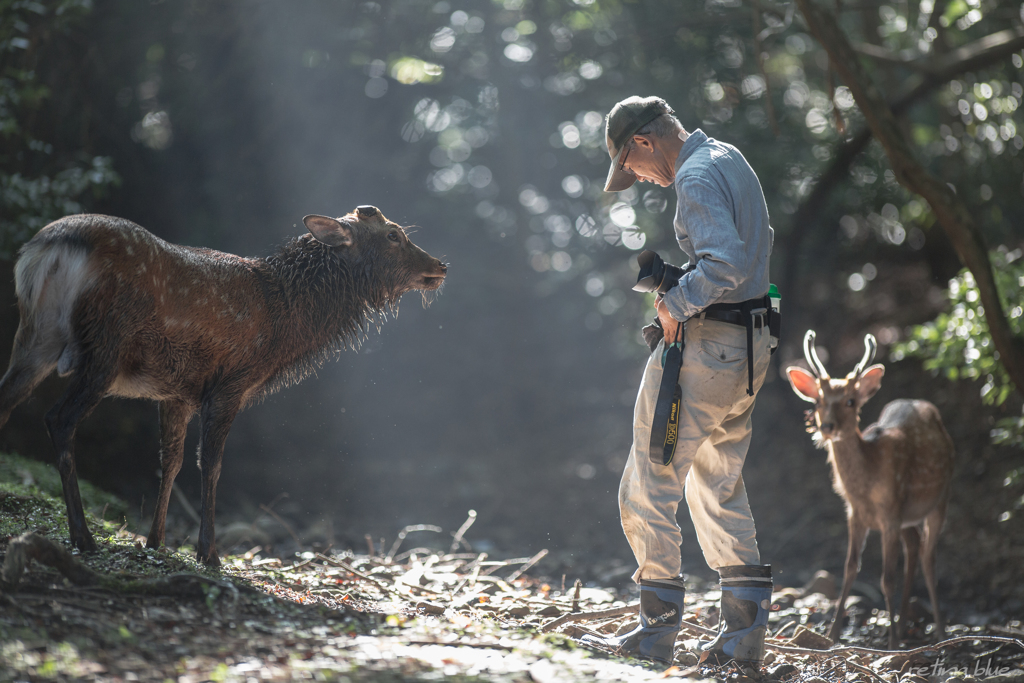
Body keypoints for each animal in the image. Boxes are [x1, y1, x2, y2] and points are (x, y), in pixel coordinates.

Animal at [1, 206, 448, 565]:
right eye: (394, 235)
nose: (442, 266)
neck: (285, 325)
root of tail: (50, 246)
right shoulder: (231, 381)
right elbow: (211, 465)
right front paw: (208, 553)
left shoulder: (176, 391)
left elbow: (170, 461)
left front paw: (155, 541)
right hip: (106, 345)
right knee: (58, 419)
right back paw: (83, 536)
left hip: (35, 337)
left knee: (7, 399)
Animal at [786, 331, 954, 647]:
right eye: (818, 400)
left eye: (851, 401)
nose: (827, 426)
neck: (866, 486)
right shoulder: (856, 514)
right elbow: (850, 568)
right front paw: (832, 634)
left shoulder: (890, 515)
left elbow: (886, 579)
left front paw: (891, 644)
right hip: (907, 518)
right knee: (914, 546)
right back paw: (904, 624)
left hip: (940, 498)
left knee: (929, 558)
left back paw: (938, 632)